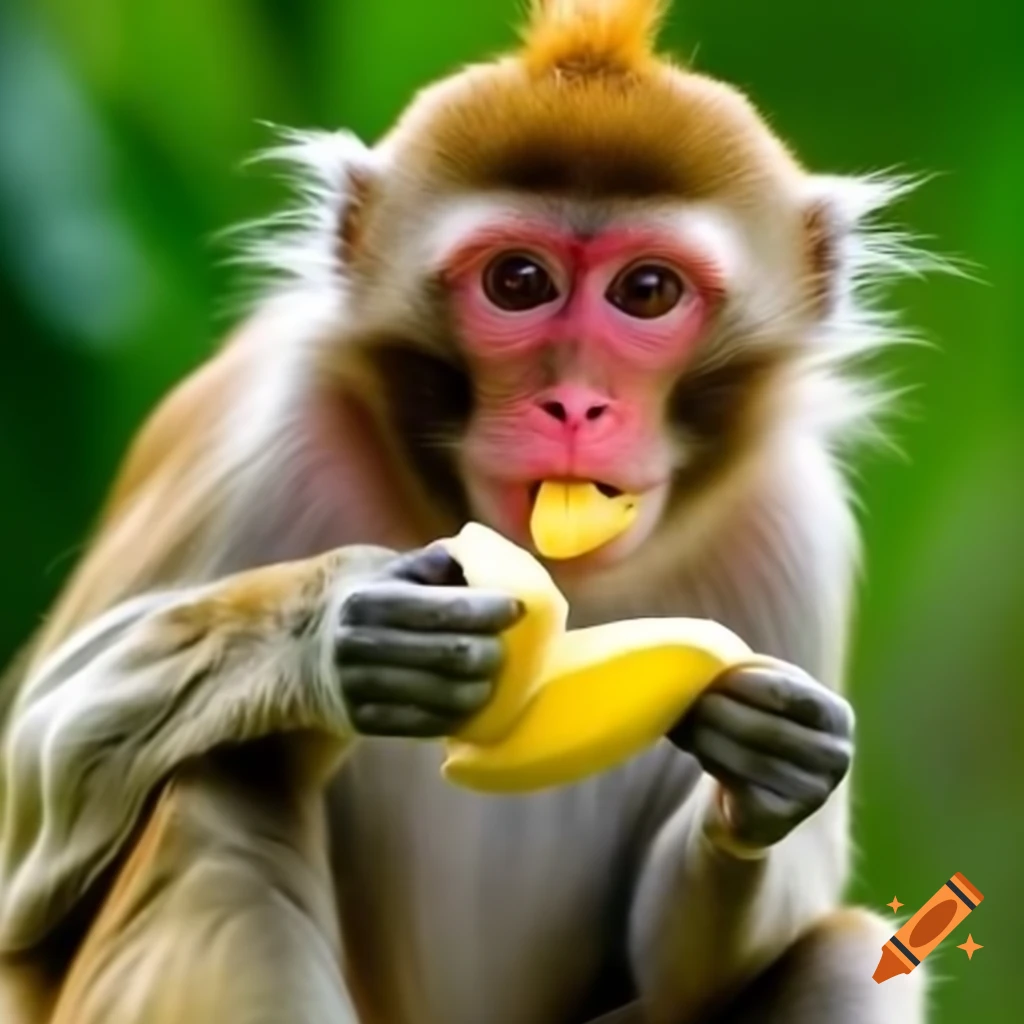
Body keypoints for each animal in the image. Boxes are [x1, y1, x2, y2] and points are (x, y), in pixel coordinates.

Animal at [0, 1, 932, 1021]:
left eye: (647, 291)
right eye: (518, 282)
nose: (575, 406)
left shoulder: (792, 524)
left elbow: (685, 969)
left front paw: (771, 772)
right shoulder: (254, 424)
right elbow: (30, 802)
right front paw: (334, 632)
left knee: (843, 952)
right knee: (216, 792)